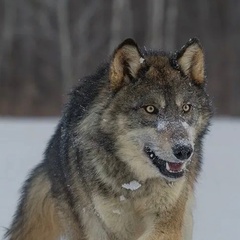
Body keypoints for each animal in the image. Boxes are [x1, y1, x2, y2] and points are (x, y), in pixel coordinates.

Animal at [5, 38, 212, 240]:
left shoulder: (167, 221)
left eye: (186, 108)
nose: (184, 150)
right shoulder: (114, 227)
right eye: (150, 109)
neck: (136, 184)